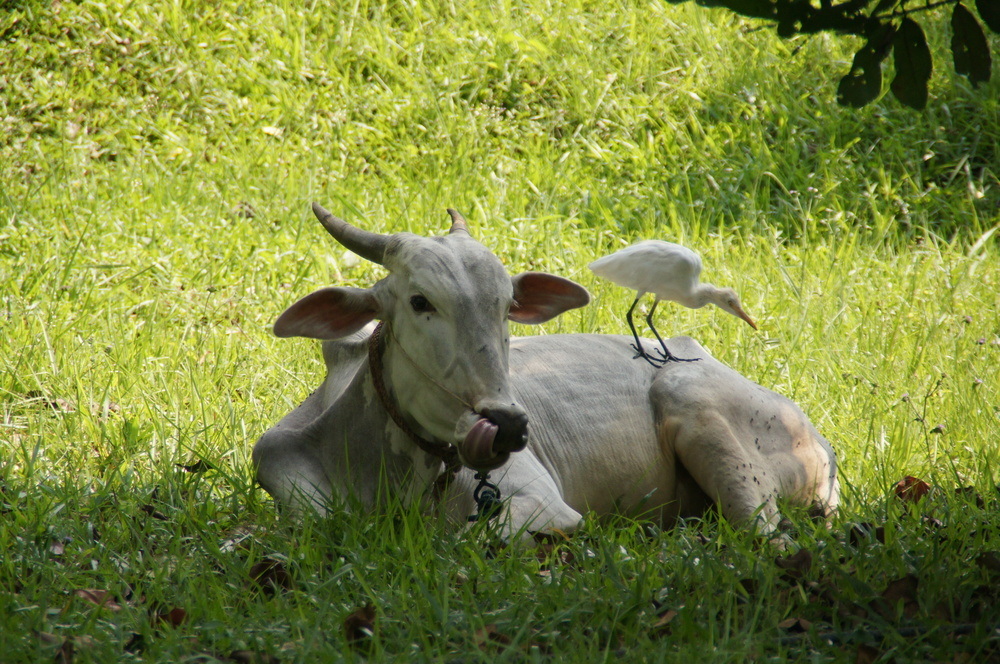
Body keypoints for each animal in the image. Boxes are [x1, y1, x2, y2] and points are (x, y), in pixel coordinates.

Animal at [254, 205, 840, 544]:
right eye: (420, 301)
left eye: (506, 306)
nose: (508, 424)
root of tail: (818, 439)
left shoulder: (543, 505)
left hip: (716, 439)